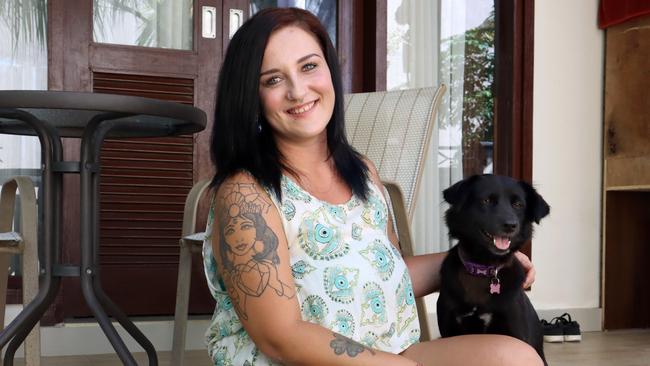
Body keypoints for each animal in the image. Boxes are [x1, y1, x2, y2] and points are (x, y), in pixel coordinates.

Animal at [436, 174, 548, 364]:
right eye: (486, 200)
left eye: (518, 205)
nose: (510, 225)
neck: (483, 267)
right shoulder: (450, 330)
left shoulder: (515, 337)